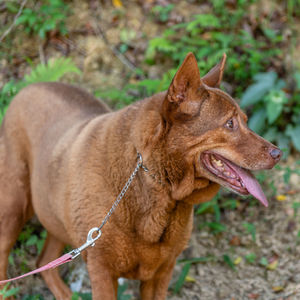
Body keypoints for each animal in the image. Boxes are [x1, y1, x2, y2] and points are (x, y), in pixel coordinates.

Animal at [0, 52, 282, 298]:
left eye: (245, 120)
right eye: (230, 124)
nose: (278, 153)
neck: (159, 186)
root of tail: (26, 88)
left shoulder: (161, 275)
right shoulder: (102, 273)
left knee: (45, 261)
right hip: (13, 208)